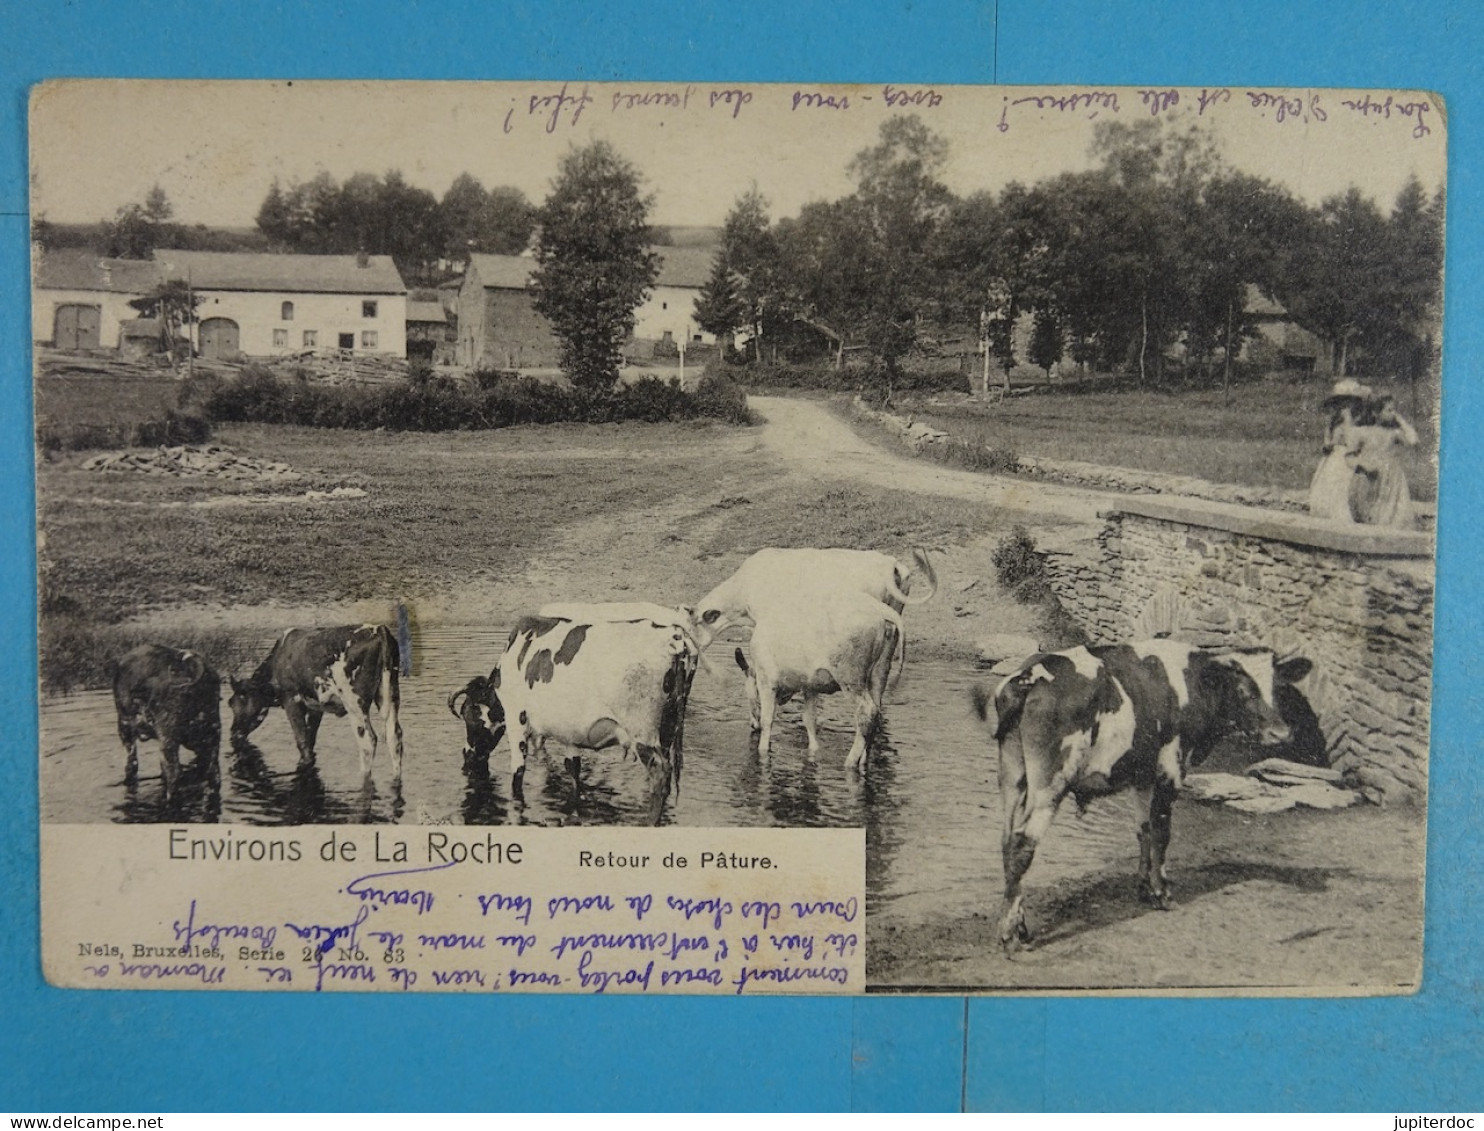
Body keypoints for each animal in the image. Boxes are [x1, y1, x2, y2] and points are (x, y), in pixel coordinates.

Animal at [112, 644, 221, 801]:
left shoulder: (125, 727)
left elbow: (132, 764)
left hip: (167, 734)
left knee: (174, 773)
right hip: (214, 730)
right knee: (214, 774)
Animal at [225, 626, 403, 783]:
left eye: (238, 701)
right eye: (230, 703)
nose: (234, 732)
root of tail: (379, 630)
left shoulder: (291, 700)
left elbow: (302, 740)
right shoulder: (316, 707)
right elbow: (310, 739)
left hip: (355, 703)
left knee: (368, 741)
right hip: (390, 695)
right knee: (395, 737)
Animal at [727, 590, 896, 765]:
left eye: (750, 693)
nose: (753, 725)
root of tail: (882, 610)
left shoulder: (767, 680)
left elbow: (768, 720)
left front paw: (762, 752)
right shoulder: (810, 686)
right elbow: (809, 720)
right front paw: (813, 751)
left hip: (850, 678)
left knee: (866, 713)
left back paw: (850, 762)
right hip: (878, 675)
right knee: (875, 715)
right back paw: (863, 761)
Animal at [973, 638, 1311, 949]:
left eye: (1277, 687)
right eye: (1243, 690)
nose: (1281, 732)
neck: (1191, 683)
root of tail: (1028, 677)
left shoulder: (1143, 776)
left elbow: (1144, 829)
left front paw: (1144, 888)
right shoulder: (1171, 768)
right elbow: (1162, 832)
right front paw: (1163, 893)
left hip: (1013, 776)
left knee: (1007, 841)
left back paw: (1018, 924)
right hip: (1050, 784)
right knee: (1022, 843)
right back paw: (1010, 935)